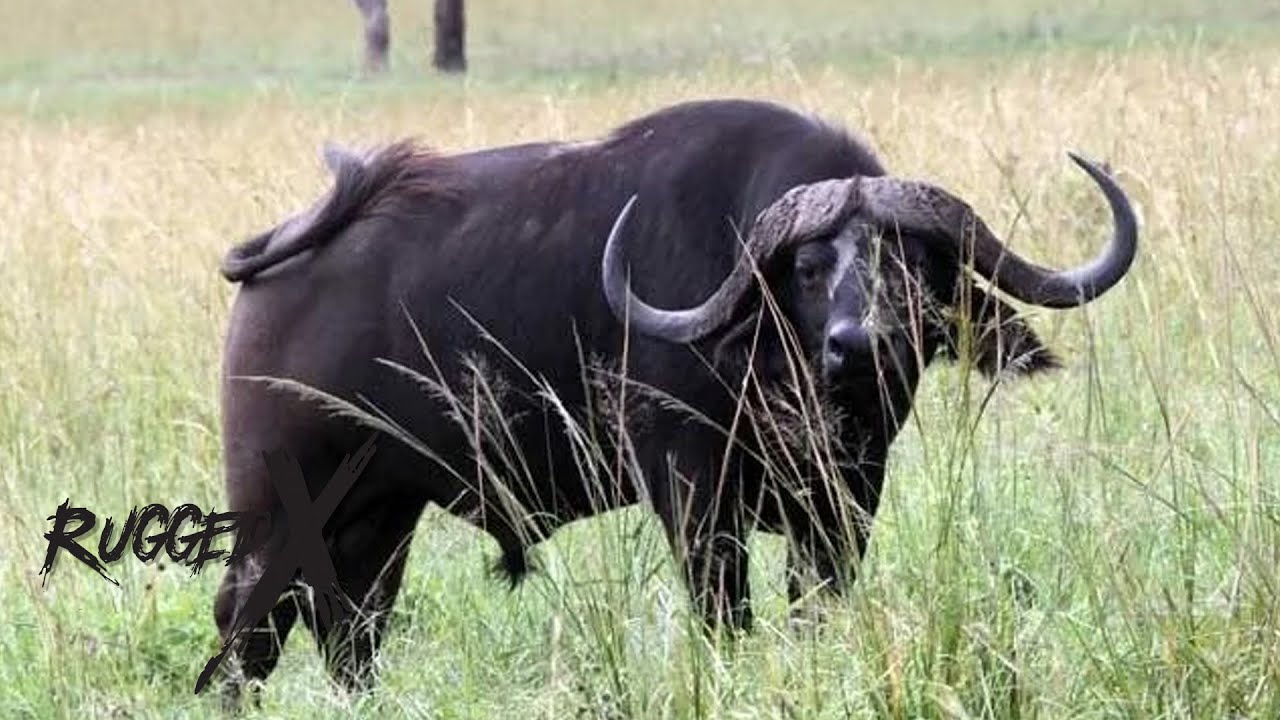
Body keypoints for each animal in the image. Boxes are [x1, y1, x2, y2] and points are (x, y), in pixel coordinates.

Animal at [212, 98, 1137, 698]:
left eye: (916, 267)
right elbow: (725, 611)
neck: (771, 362)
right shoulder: (693, 495)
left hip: (379, 520)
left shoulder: (847, 498)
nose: (859, 346)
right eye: (810, 268)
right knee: (249, 629)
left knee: (348, 629)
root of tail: (283, 255)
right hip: (277, 510)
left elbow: (816, 604)